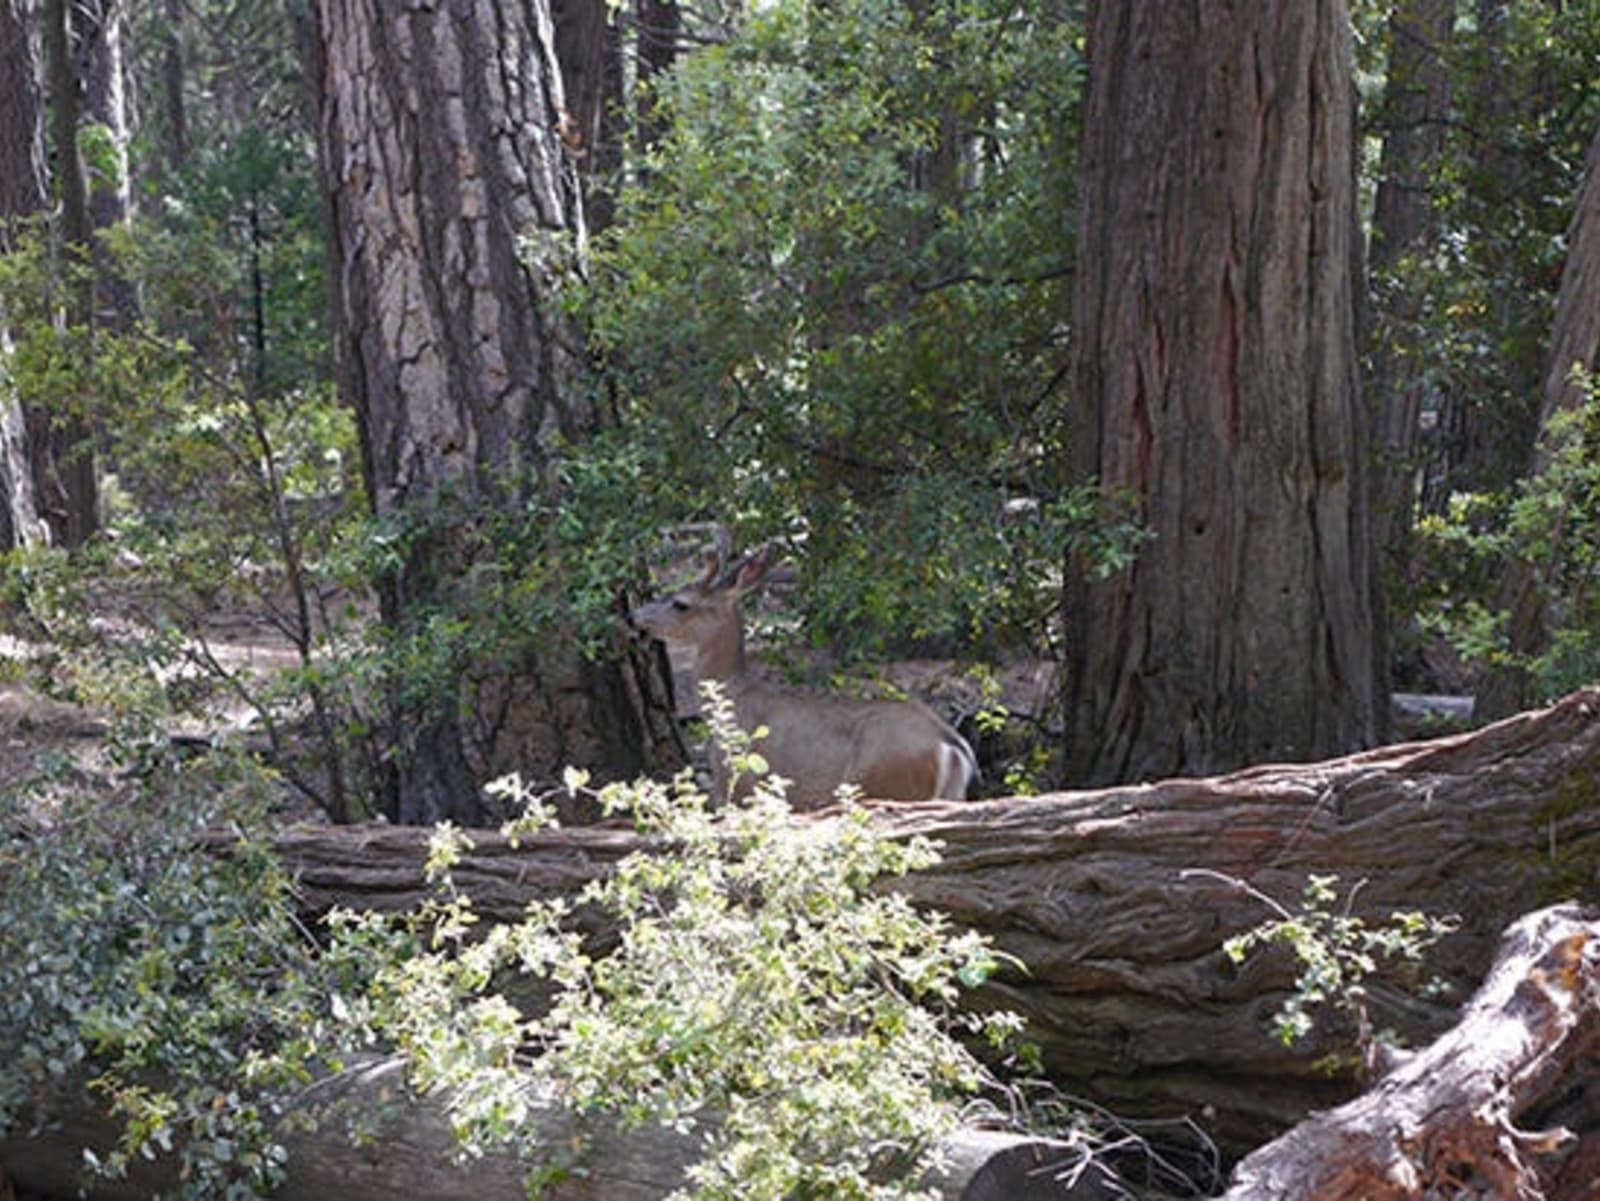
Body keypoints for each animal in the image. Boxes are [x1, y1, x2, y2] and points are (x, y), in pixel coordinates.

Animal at [629, 539, 979, 810]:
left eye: (680, 603)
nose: (634, 616)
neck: (733, 699)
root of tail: (952, 745)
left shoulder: (737, 781)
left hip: (884, 784)